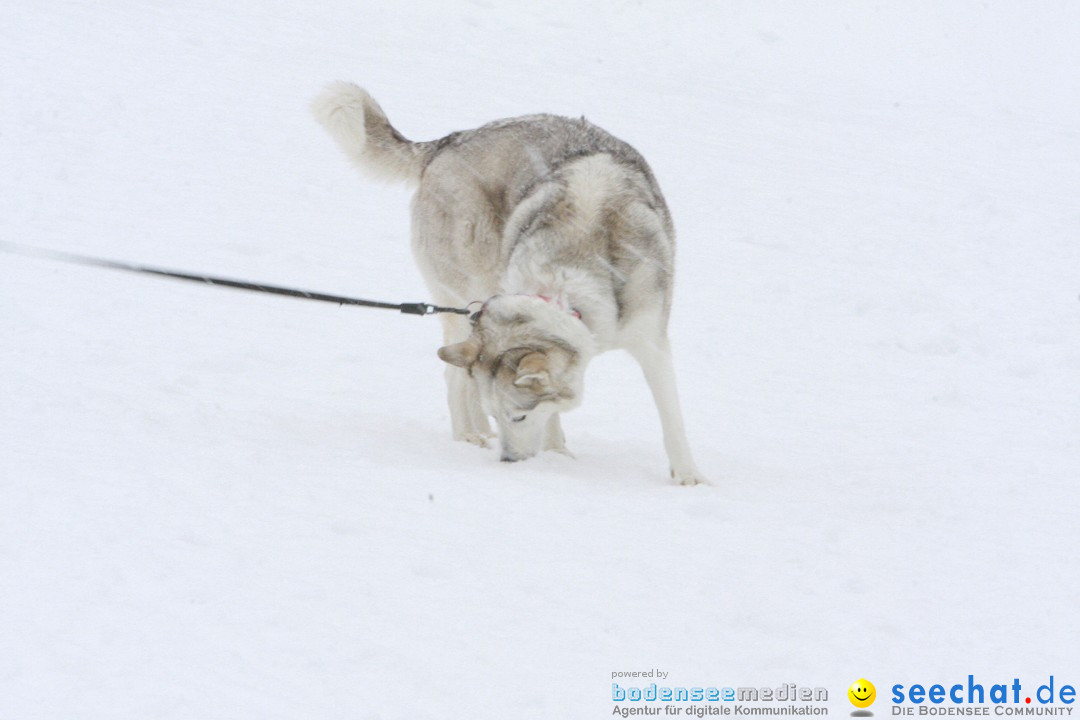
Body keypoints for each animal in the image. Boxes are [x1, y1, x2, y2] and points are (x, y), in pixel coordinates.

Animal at [311, 83, 708, 483]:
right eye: (499, 413)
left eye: (518, 416)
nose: (508, 462)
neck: (567, 285)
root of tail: (446, 143)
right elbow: (552, 415)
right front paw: (556, 454)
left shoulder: (652, 344)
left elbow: (671, 419)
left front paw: (688, 477)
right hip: (472, 292)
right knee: (453, 377)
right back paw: (469, 435)